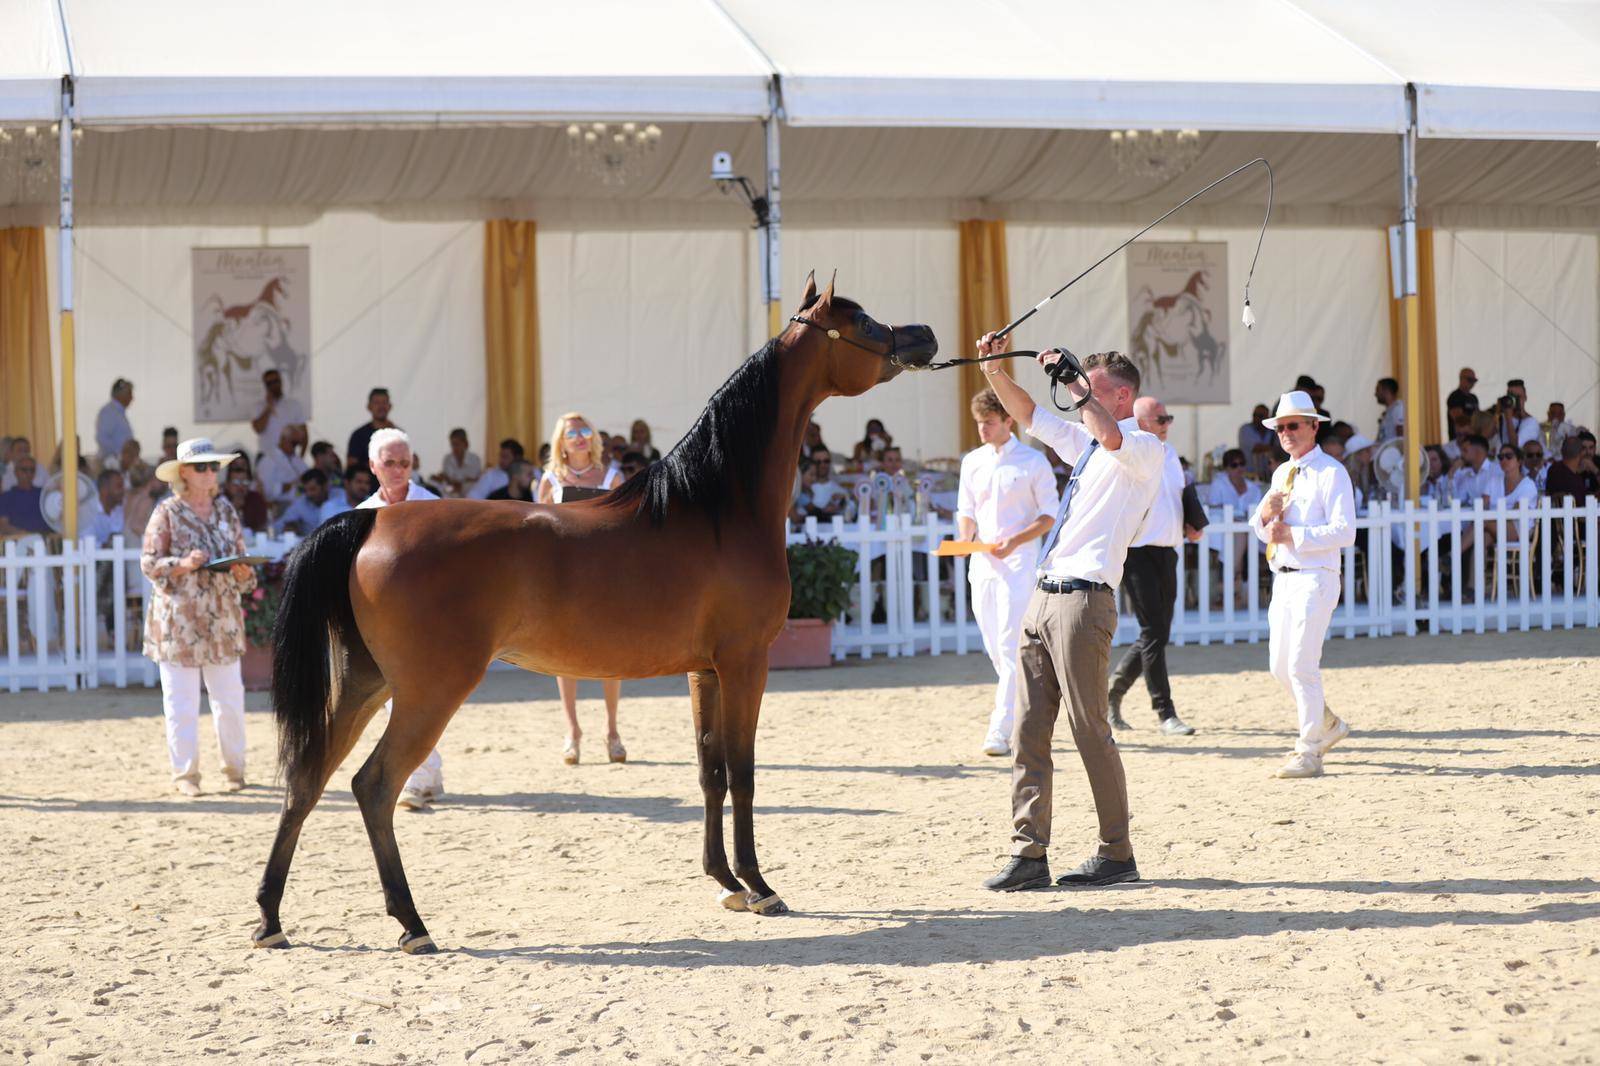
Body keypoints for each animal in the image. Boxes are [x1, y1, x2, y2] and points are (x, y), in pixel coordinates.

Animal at [250, 273, 937, 955]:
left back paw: (270, 919)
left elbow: (710, 769)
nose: (925, 335)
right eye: (865, 322)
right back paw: (412, 924)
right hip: (428, 691)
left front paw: (725, 882)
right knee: (373, 786)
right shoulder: (747, 663)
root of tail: (371, 522)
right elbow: (742, 771)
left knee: (306, 781)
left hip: (363, 685)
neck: (716, 506)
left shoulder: (705, 671)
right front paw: (760, 886)